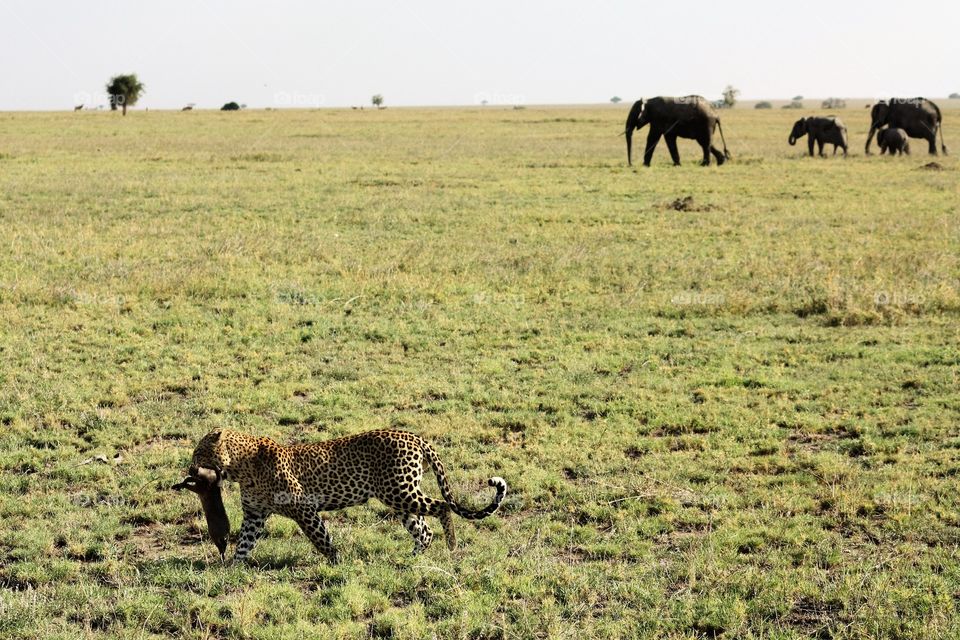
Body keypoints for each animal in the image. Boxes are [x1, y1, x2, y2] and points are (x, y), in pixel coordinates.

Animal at [183, 428, 507, 564]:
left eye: (198, 452)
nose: (190, 468)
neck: (240, 468)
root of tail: (415, 436)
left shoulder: (303, 508)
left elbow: (321, 538)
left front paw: (336, 561)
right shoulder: (254, 514)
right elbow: (245, 543)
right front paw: (234, 568)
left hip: (400, 492)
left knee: (441, 507)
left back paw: (451, 546)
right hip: (398, 497)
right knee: (423, 530)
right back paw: (410, 558)